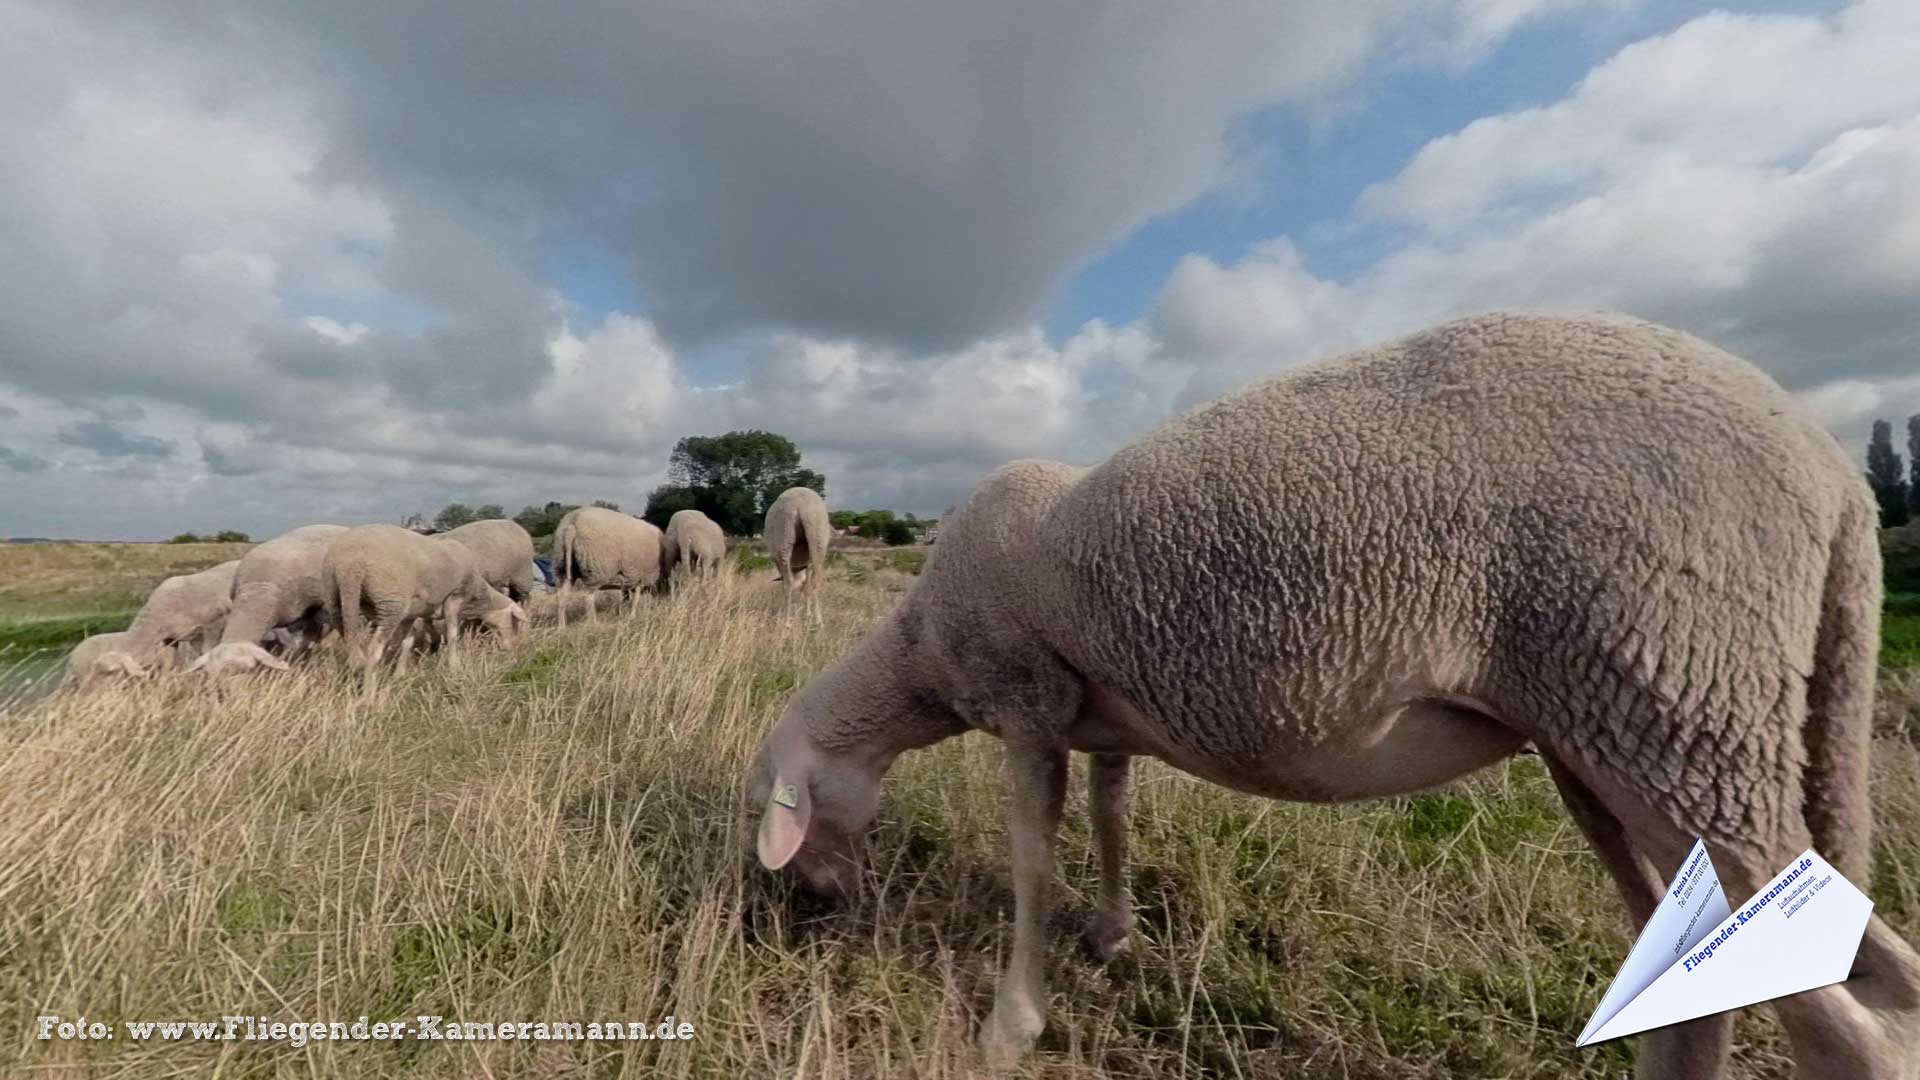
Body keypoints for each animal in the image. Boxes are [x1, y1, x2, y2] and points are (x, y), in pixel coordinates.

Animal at [322, 522, 529, 668]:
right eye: (514, 621)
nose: (512, 650)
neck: (477, 596)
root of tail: (350, 564)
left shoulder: (415, 613)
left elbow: (407, 641)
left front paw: (400, 673)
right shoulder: (454, 598)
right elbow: (452, 634)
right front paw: (454, 666)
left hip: (336, 599)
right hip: (390, 602)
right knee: (373, 651)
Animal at [744, 307, 1920, 1068]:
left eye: (776, 804)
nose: (809, 905)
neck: (918, 652)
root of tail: (1839, 485)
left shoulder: (1024, 701)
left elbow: (1034, 858)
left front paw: (1010, 1025)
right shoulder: (1101, 715)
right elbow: (1115, 819)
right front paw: (1116, 934)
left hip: (1685, 702)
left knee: (1855, 1028)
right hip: (1638, 737)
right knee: (1713, 983)